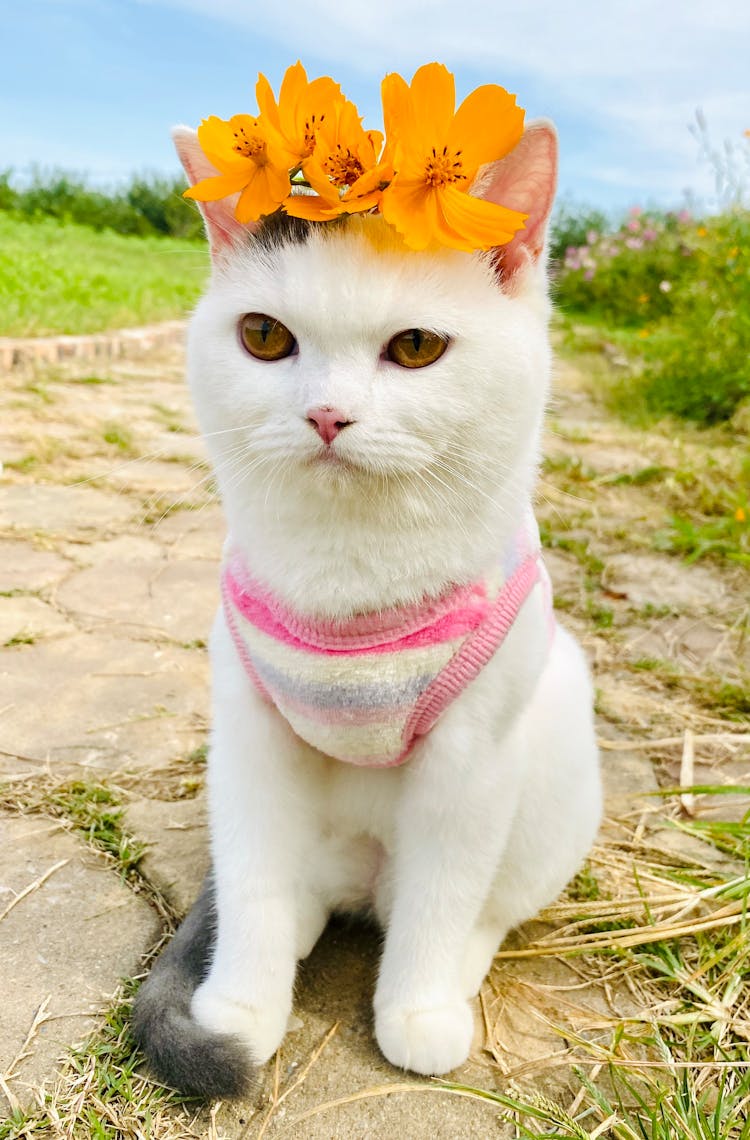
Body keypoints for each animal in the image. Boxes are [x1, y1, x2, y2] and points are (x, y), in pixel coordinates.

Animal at [132, 113, 601, 1094]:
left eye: (416, 347)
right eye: (264, 336)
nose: (326, 415)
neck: (349, 571)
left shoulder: (469, 764)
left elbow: (442, 899)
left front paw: (415, 1010)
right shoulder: (251, 739)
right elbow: (256, 883)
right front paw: (241, 1007)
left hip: (552, 755)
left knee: (473, 907)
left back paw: (450, 981)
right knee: (277, 886)